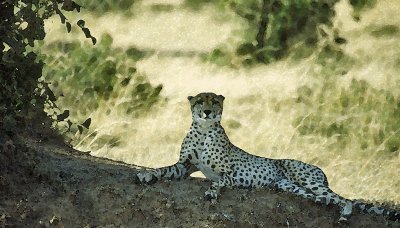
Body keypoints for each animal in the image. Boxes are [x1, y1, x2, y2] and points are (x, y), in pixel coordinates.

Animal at [134, 91, 400, 222]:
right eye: (200, 101)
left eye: (214, 101)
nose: (207, 111)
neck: (203, 130)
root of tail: (319, 169)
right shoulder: (184, 165)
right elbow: (164, 169)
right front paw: (147, 176)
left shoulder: (230, 173)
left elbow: (219, 181)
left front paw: (211, 192)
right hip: (289, 186)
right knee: (324, 198)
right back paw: (322, 203)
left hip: (308, 179)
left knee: (345, 200)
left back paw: (344, 215)